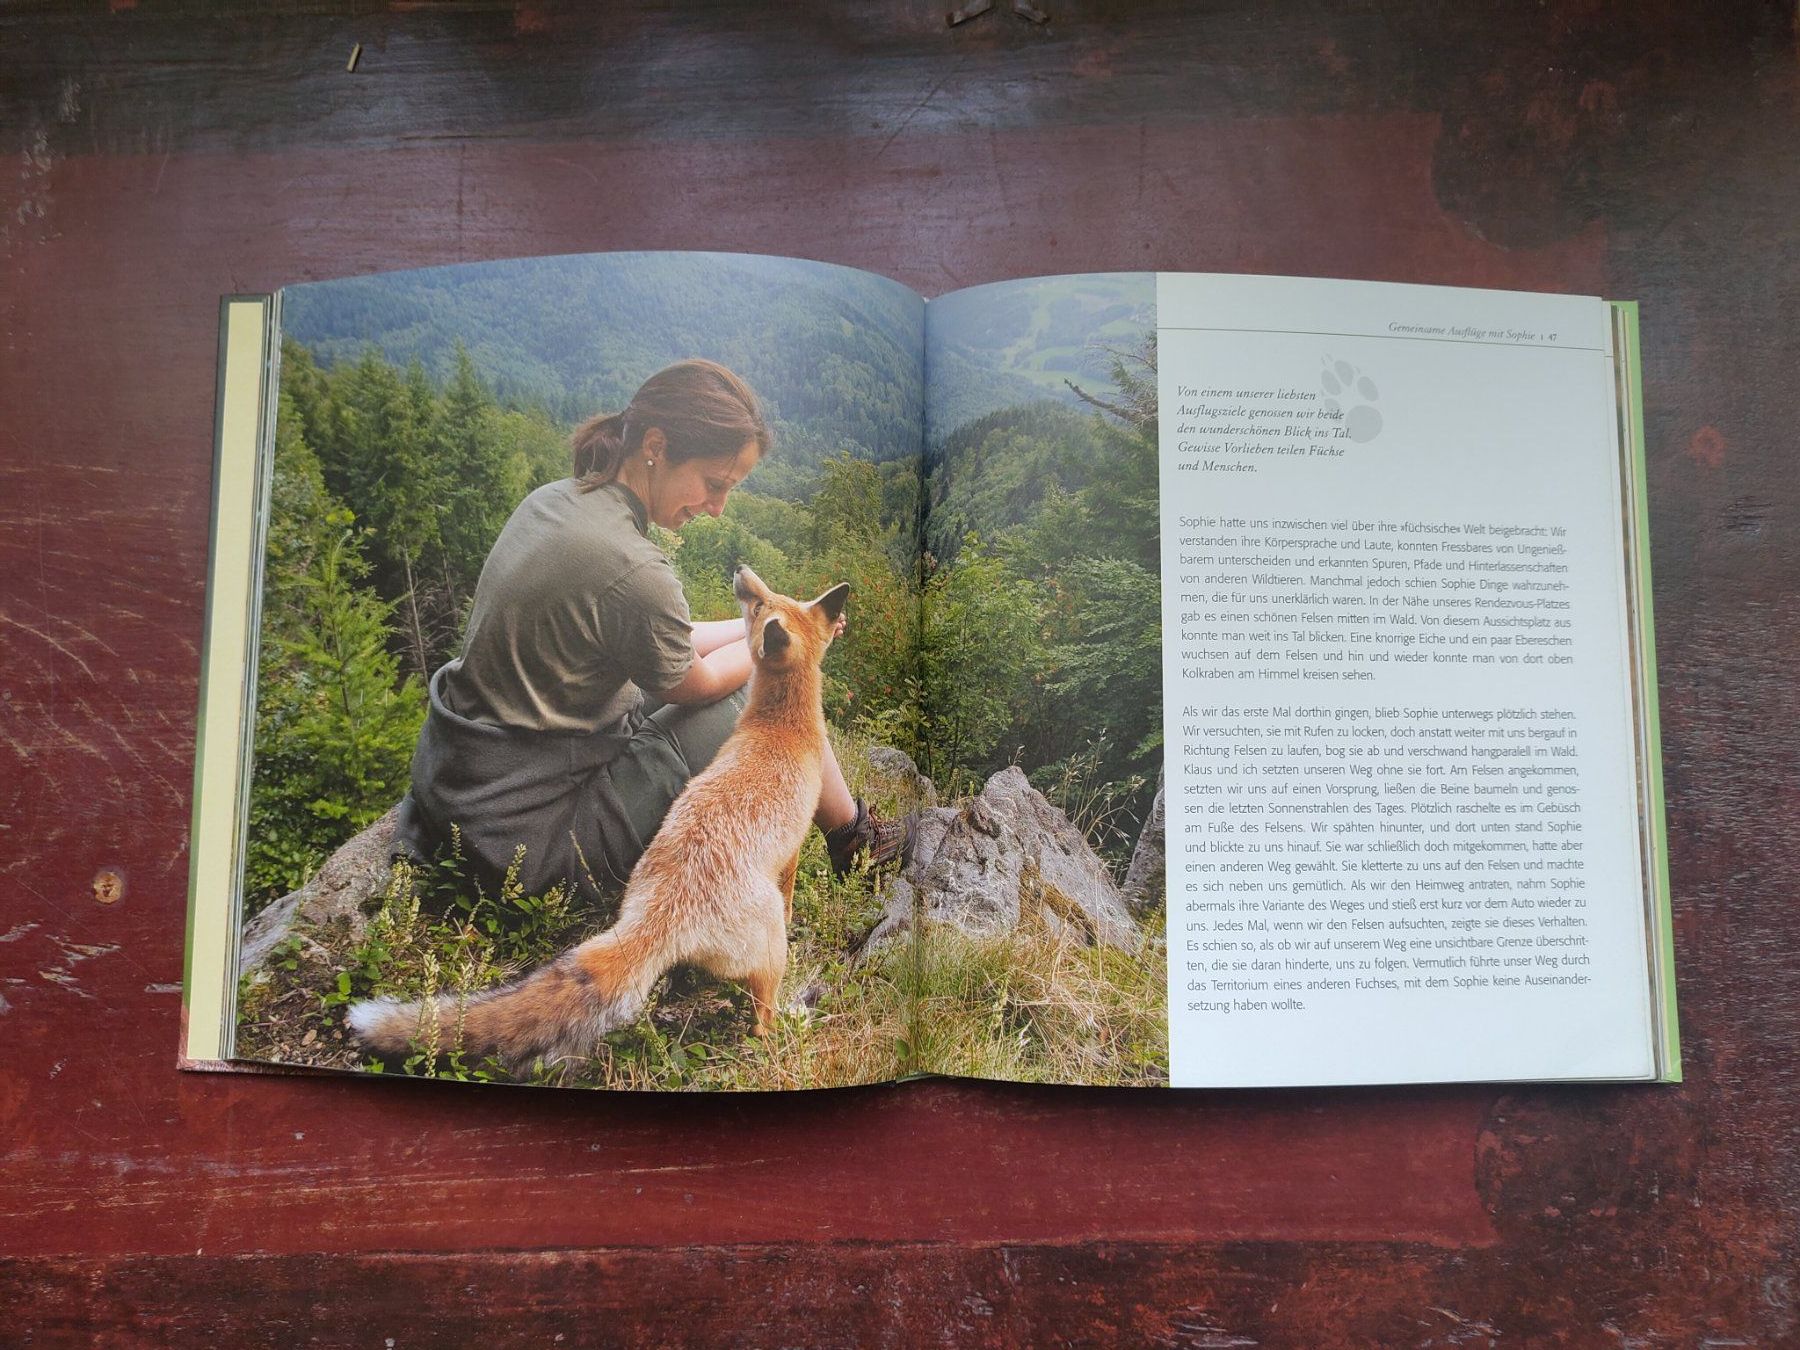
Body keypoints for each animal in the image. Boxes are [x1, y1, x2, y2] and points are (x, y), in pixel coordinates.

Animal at [346, 565, 849, 1067]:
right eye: (760, 603)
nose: (742, 571)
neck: (780, 728)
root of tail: (663, 911)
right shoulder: (792, 851)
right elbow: (790, 895)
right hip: (770, 955)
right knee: (762, 1021)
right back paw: (790, 1021)